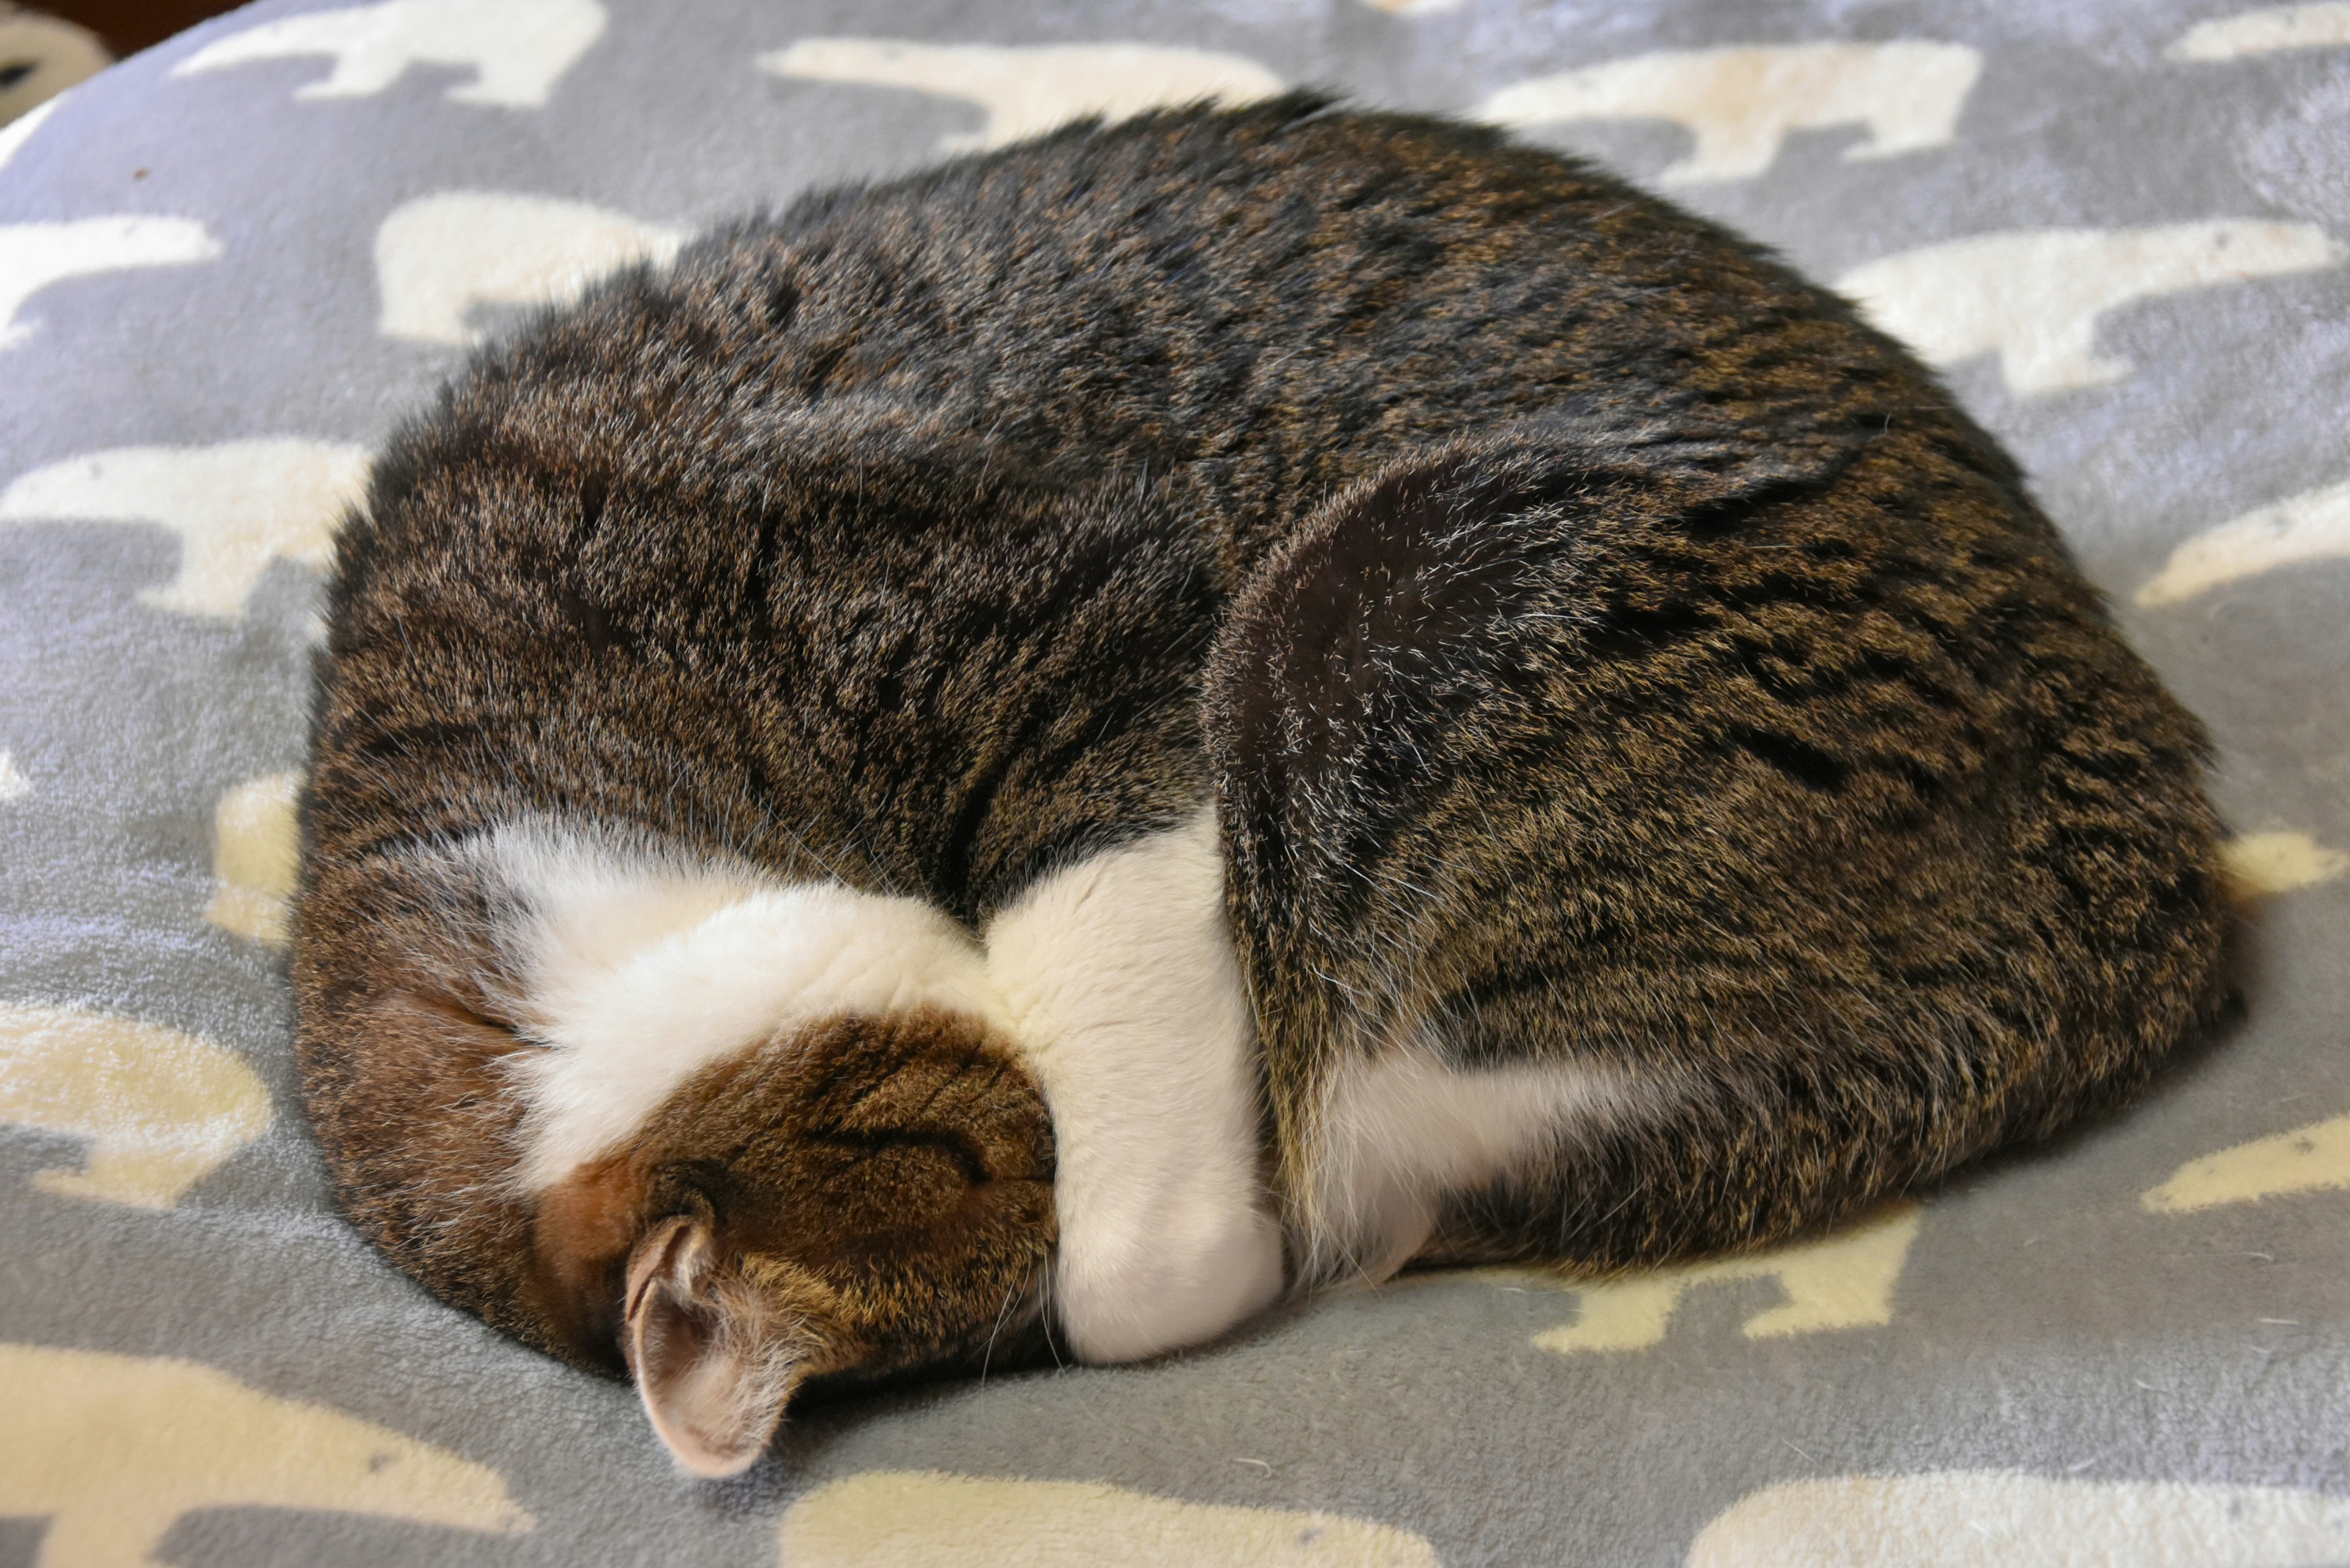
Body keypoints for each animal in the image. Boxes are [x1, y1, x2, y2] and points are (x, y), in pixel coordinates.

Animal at [289, 95, 2218, 1476]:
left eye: (931, 1137)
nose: (1044, 1158)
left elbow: (1154, 1242)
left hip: (1375, 613)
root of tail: (2172, 878)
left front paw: (1168, 1240)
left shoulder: (1096, 662)